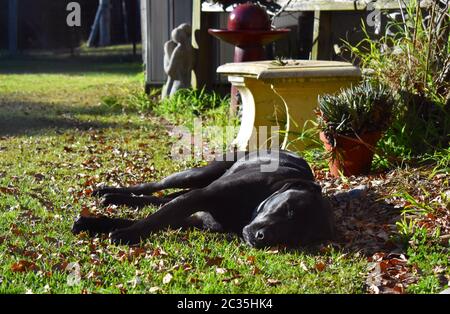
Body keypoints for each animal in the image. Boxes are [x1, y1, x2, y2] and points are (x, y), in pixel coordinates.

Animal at [72, 150, 334, 248]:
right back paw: (106, 190)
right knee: (153, 186)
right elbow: (155, 219)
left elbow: (155, 217)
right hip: (197, 174)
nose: (263, 238)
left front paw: (93, 223)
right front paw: (125, 235)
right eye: (288, 208)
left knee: (159, 200)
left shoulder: (194, 217)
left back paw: (112, 197)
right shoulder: (199, 196)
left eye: (295, 236)